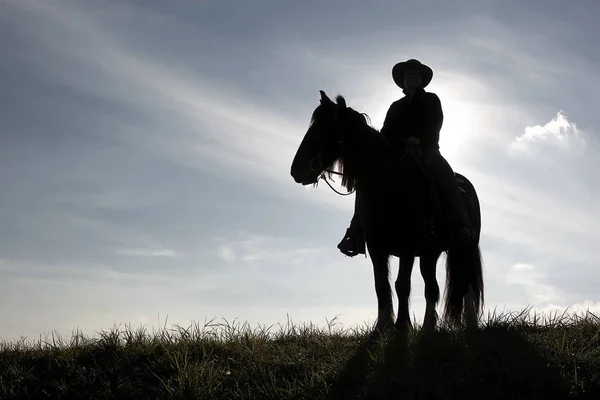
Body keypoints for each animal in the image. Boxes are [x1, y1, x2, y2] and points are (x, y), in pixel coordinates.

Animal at [290, 92, 482, 332]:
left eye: (322, 129)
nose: (296, 171)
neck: (390, 182)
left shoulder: (407, 246)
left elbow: (402, 285)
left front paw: (402, 325)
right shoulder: (376, 247)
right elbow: (381, 285)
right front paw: (382, 327)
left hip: (464, 247)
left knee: (466, 285)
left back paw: (468, 325)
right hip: (431, 253)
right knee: (433, 286)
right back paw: (430, 326)